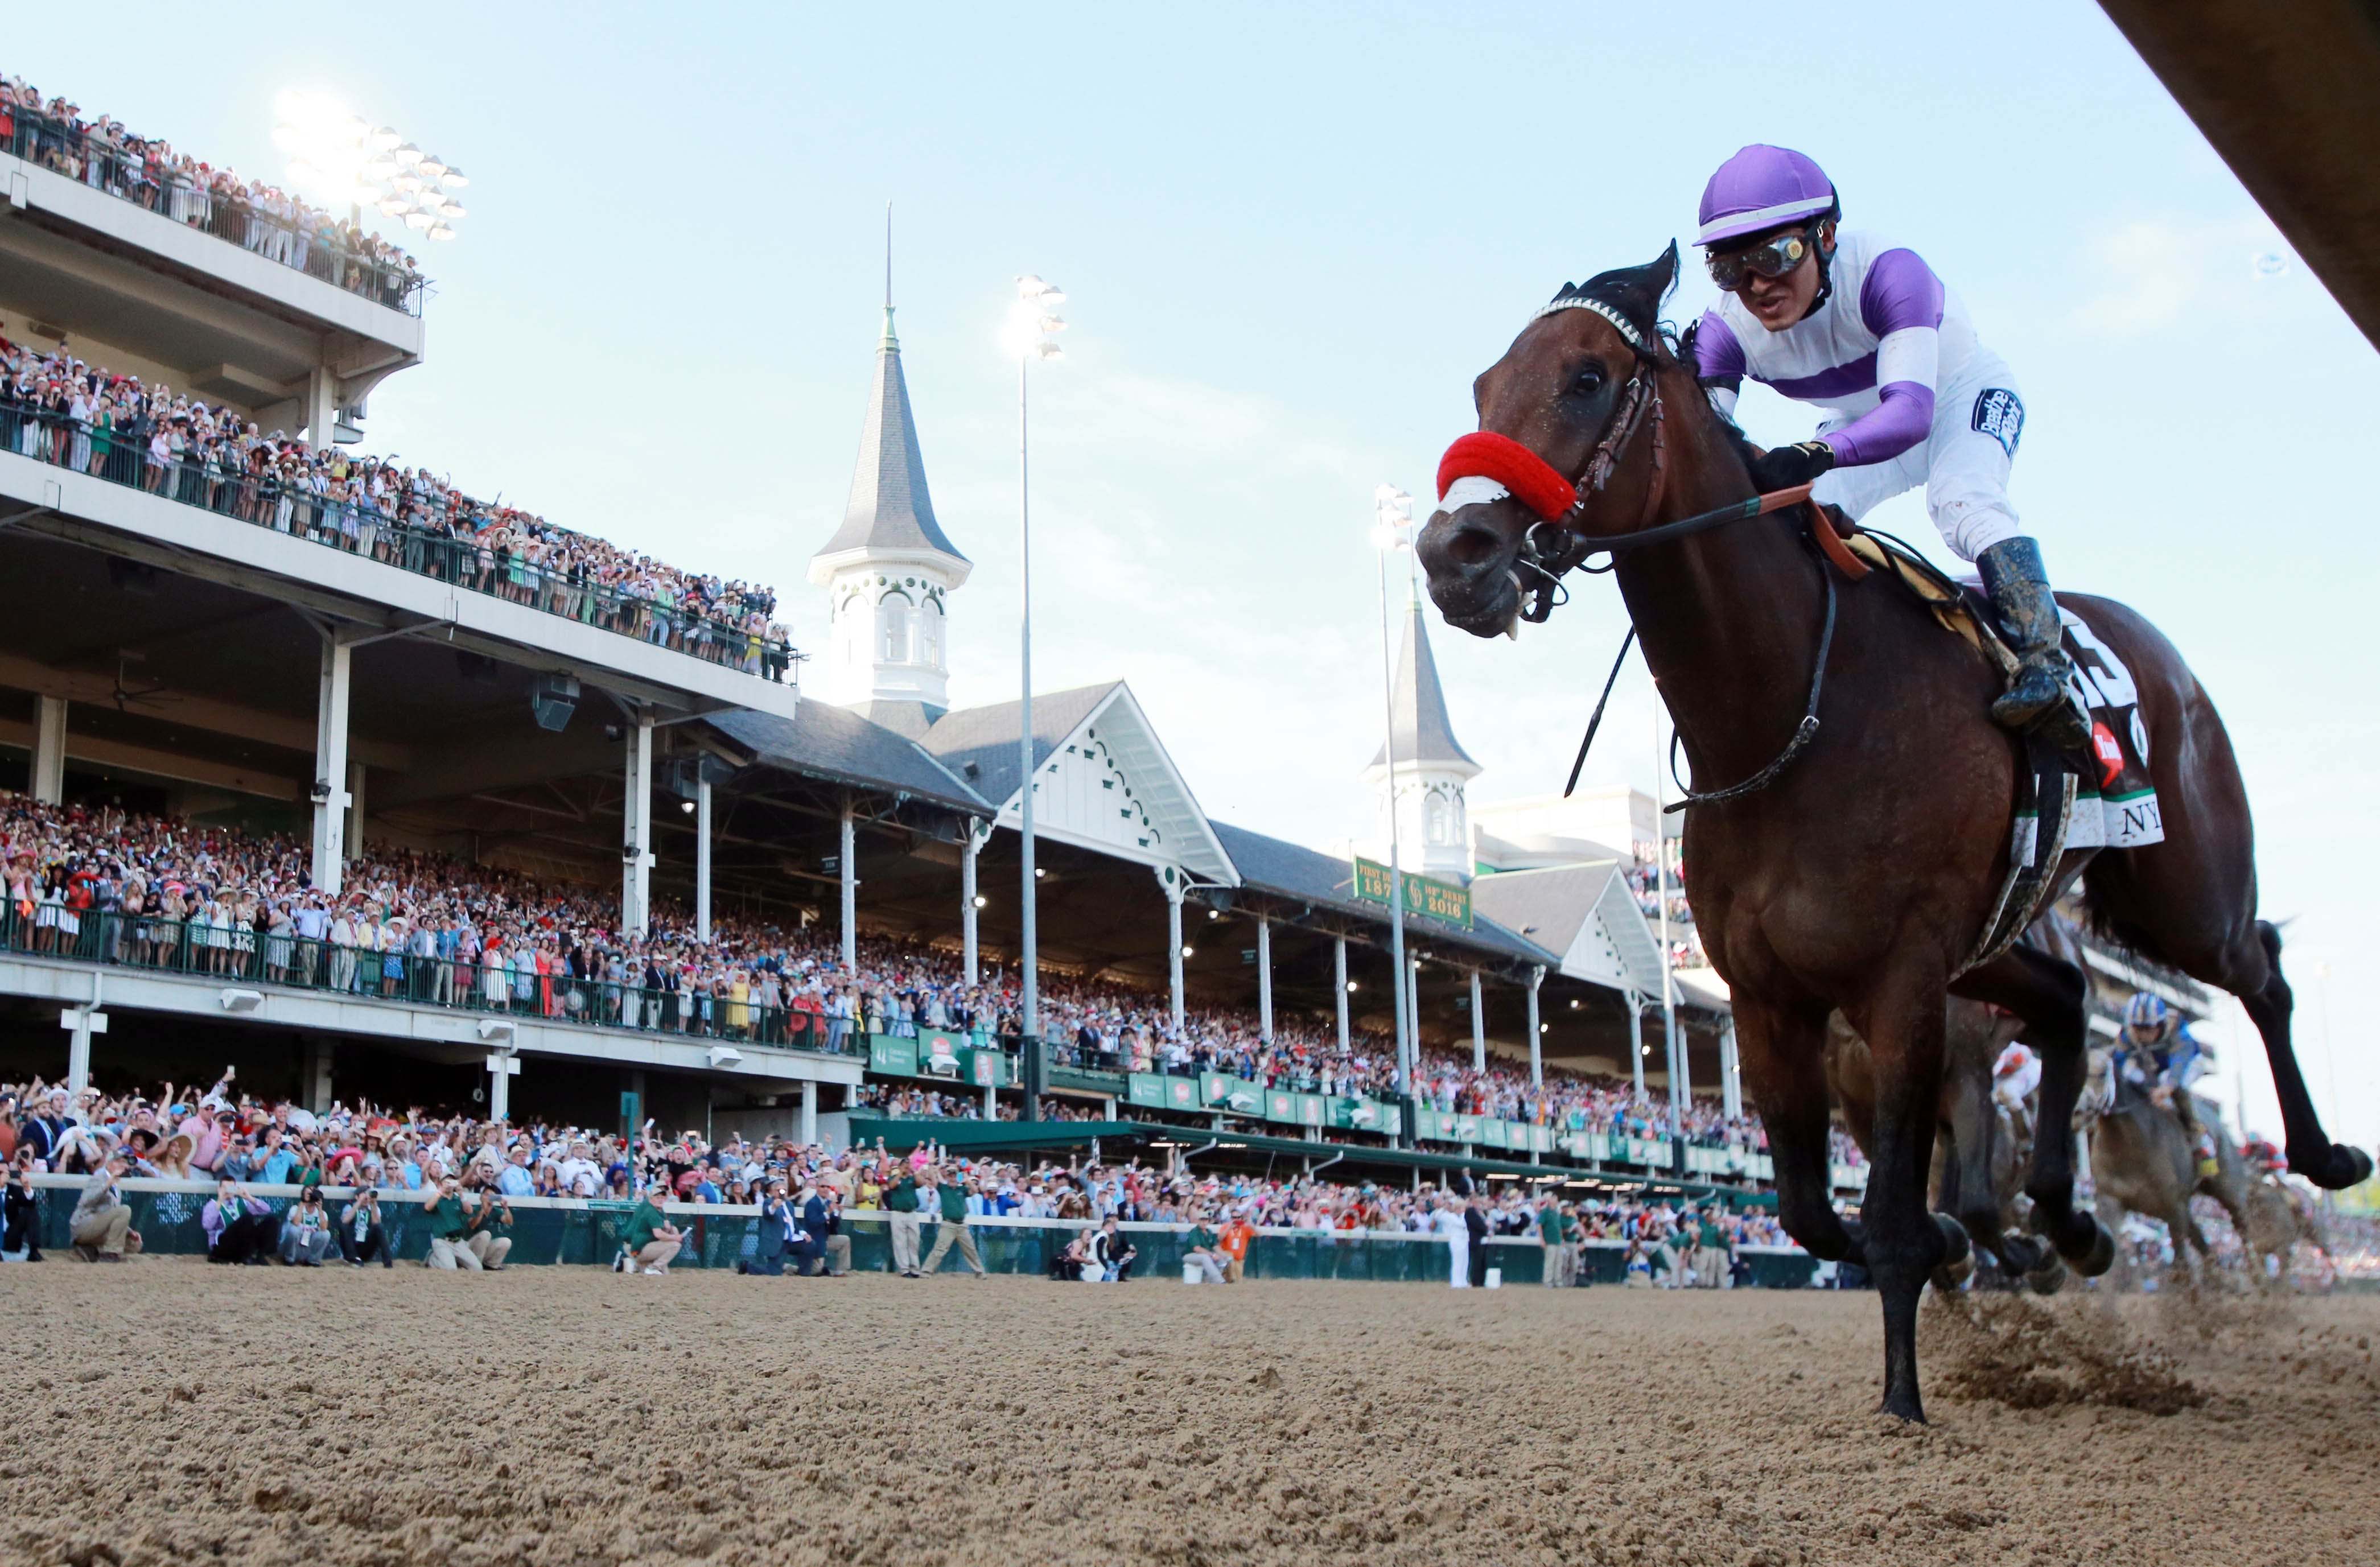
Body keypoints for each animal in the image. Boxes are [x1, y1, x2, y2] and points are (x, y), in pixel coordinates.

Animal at [1418, 242, 2370, 1426]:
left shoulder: (1904, 981)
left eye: (1587, 378)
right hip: (2006, 940)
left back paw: (2323, 1153)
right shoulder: (1770, 999)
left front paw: (1904, 1398)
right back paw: (2070, 1220)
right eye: (1480, 389)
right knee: (2070, 1003)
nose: (1451, 552)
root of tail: (2150, 646)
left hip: (2185, 891)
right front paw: (1974, 1242)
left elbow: (1885, 1218)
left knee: (2263, 969)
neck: (1788, 710)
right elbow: (1815, 1211)